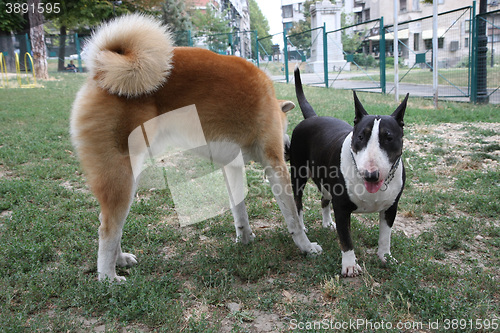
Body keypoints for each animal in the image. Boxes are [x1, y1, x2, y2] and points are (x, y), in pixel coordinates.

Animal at [70, 14, 320, 280]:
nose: (288, 148)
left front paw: (245, 238)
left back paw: (120, 259)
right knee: (108, 229)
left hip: (128, 177)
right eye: (286, 126)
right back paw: (108, 276)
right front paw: (306, 246)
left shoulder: (232, 167)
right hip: (121, 176)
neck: (269, 102)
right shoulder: (274, 164)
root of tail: (100, 73)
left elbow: (239, 210)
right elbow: (293, 218)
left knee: (110, 222)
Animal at [290, 67, 406, 274]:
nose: (371, 174)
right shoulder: (342, 207)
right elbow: (346, 238)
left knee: (323, 199)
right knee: (298, 203)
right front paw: (350, 265)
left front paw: (385, 257)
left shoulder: (391, 207)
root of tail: (312, 117)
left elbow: (385, 236)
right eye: (360, 136)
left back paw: (327, 223)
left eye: (389, 138)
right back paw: (302, 227)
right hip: (298, 174)